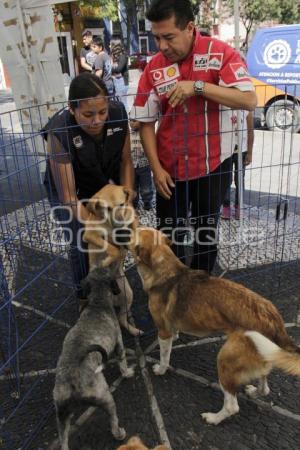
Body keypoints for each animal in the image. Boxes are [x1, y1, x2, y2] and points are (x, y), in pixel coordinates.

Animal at [53, 268, 134, 450]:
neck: (98, 303)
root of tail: (73, 383)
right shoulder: (119, 343)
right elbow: (122, 361)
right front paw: (127, 373)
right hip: (106, 397)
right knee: (113, 419)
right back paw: (119, 433)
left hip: (61, 415)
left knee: (63, 439)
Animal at [130, 229, 300, 426]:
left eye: (133, 232)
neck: (167, 270)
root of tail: (274, 320)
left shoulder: (163, 332)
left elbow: (165, 357)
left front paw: (161, 370)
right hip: (264, 356)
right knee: (265, 389)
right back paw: (253, 392)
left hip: (225, 360)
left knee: (232, 406)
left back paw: (213, 418)